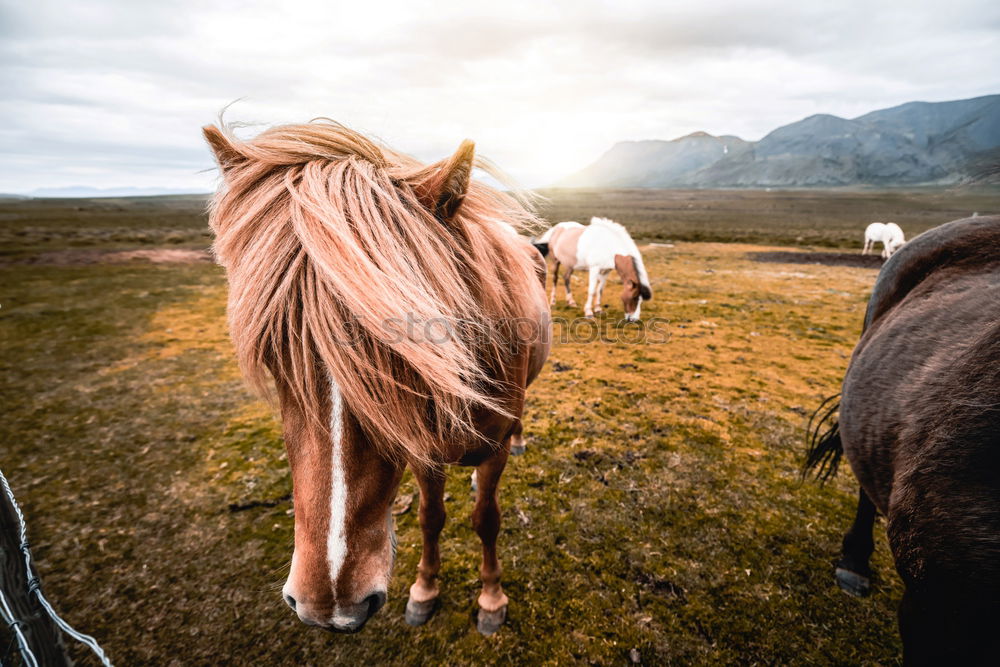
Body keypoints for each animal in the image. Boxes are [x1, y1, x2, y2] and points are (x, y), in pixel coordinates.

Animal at [200, 120, 552, 636]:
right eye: (270, 352)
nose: (330, 605)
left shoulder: (492, 449)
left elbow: (486, 519)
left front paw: (491, 599)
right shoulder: (426, 453)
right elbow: (430, 517)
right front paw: (424, 591)